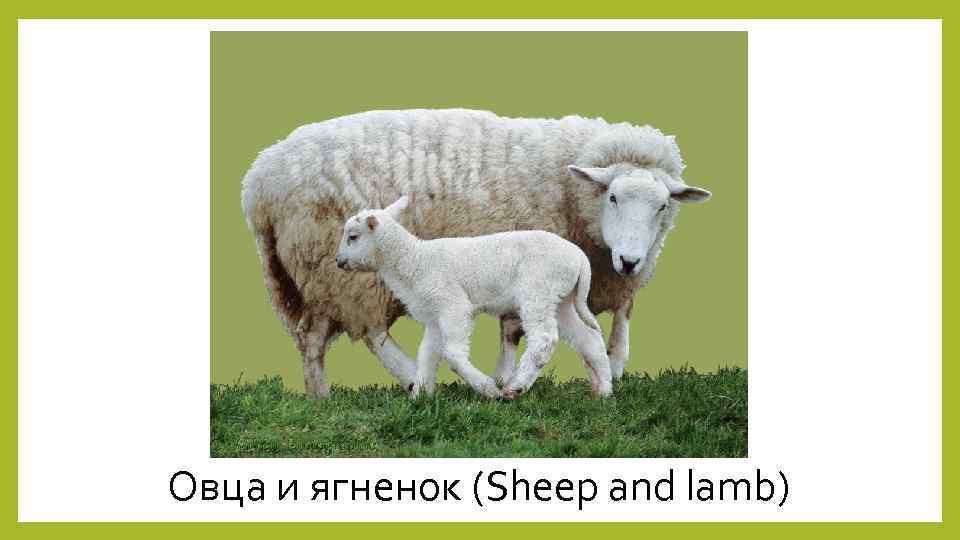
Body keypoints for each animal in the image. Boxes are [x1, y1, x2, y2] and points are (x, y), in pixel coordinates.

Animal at [334, 195, 612, 399]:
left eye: (353, 236)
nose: (338, 262)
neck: (415, 261)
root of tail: (579, 258)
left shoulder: (453, 305)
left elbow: (453, 354)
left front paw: (487, 388)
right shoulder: (435, 316)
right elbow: (427, 353)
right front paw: (421, 395)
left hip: (538, 290)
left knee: (544, 338)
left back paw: (515, 387)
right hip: (561, 299)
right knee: (588, 337)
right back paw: (604, 390)